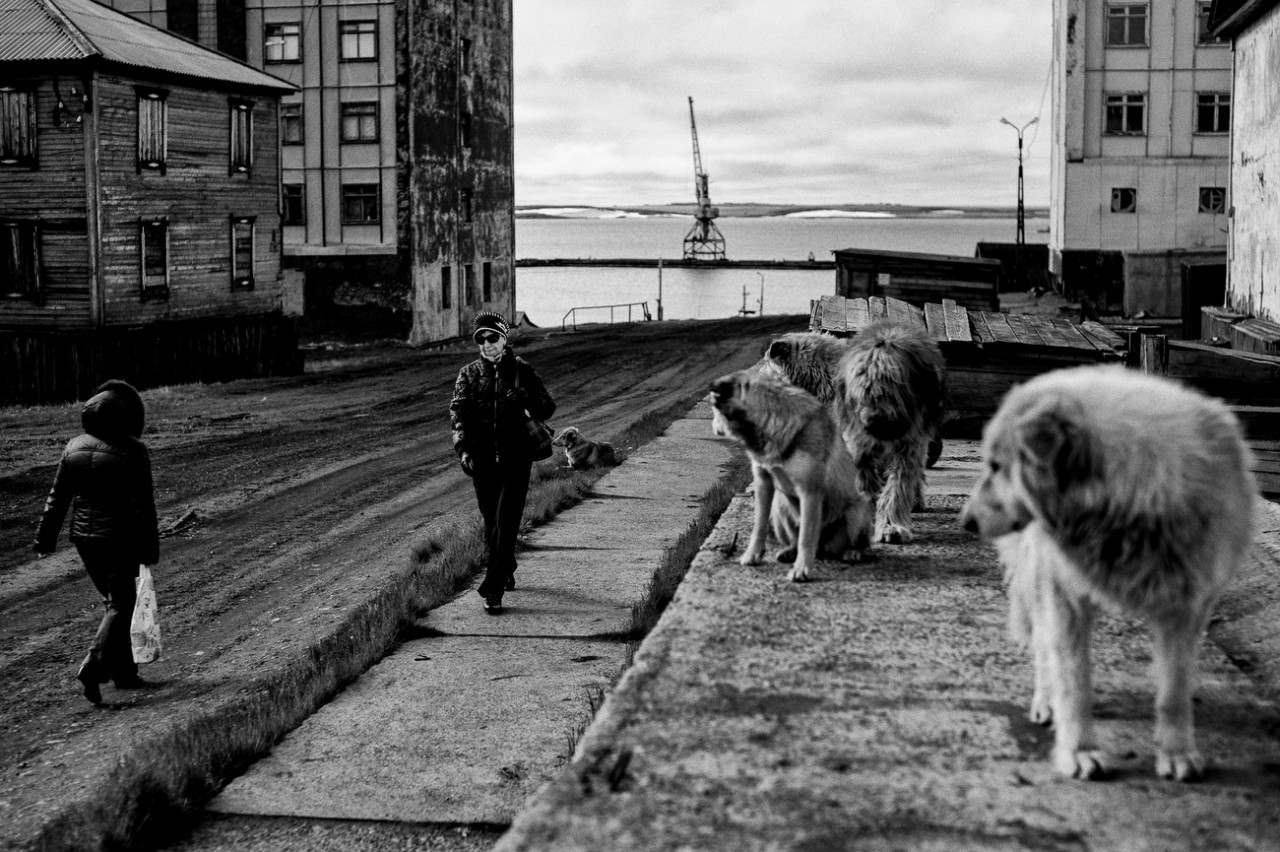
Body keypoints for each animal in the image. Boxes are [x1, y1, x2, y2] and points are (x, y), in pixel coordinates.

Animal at [706, 368, 875, 580]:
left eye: (714, 411)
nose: (713, 429)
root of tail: (823, 548)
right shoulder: (763, 483)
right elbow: (759, 526)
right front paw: (752, 555)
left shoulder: (809, 492)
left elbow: (806, 538)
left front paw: (802, 569)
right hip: (780, 505)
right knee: (794, 538)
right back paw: (789, 552)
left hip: (856, 513)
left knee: (857, 543)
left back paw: (852, 552)